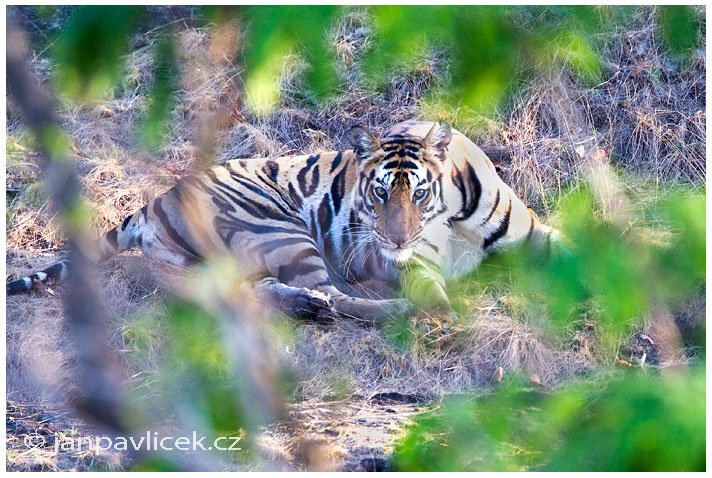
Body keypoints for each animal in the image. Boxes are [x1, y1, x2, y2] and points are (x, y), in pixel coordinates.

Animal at [6, 121, 560, 326]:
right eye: (379, 193)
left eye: (418, 193)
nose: (395, 237)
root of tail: (157, 200)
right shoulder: (415, 264)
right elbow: (433, 290)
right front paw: (443, 310)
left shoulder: (534, 232)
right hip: (280, 229)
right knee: (335, 298)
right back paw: (383, 310)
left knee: (247, 292)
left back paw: (302, 303)